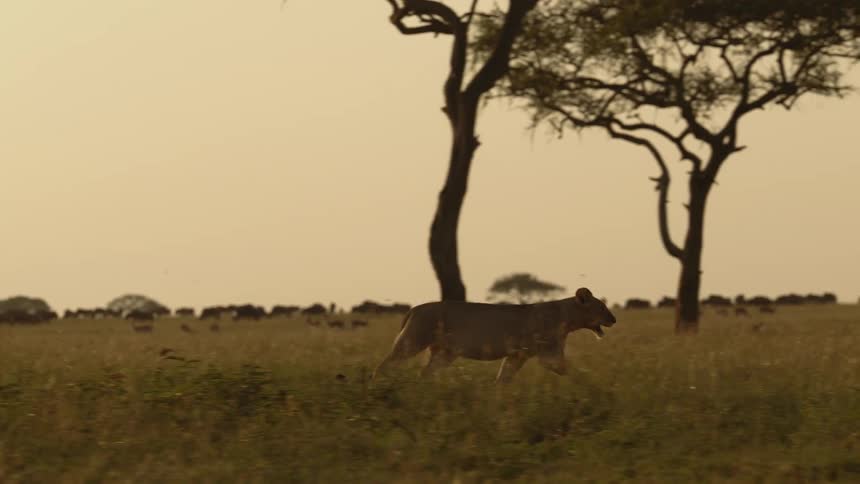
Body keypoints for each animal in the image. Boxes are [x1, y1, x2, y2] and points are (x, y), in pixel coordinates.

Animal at [372, 287, 617, 383]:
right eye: (602, 307)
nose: (614, 319)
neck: (567, 316)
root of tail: (414, 308)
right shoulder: (548, 354)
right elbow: (570, 370)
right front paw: (592, 382)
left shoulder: (517, 355)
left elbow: (503, 379)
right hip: (413, 341)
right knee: (384, 365)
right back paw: (378, 384)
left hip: (445, 353)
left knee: (425, 373)